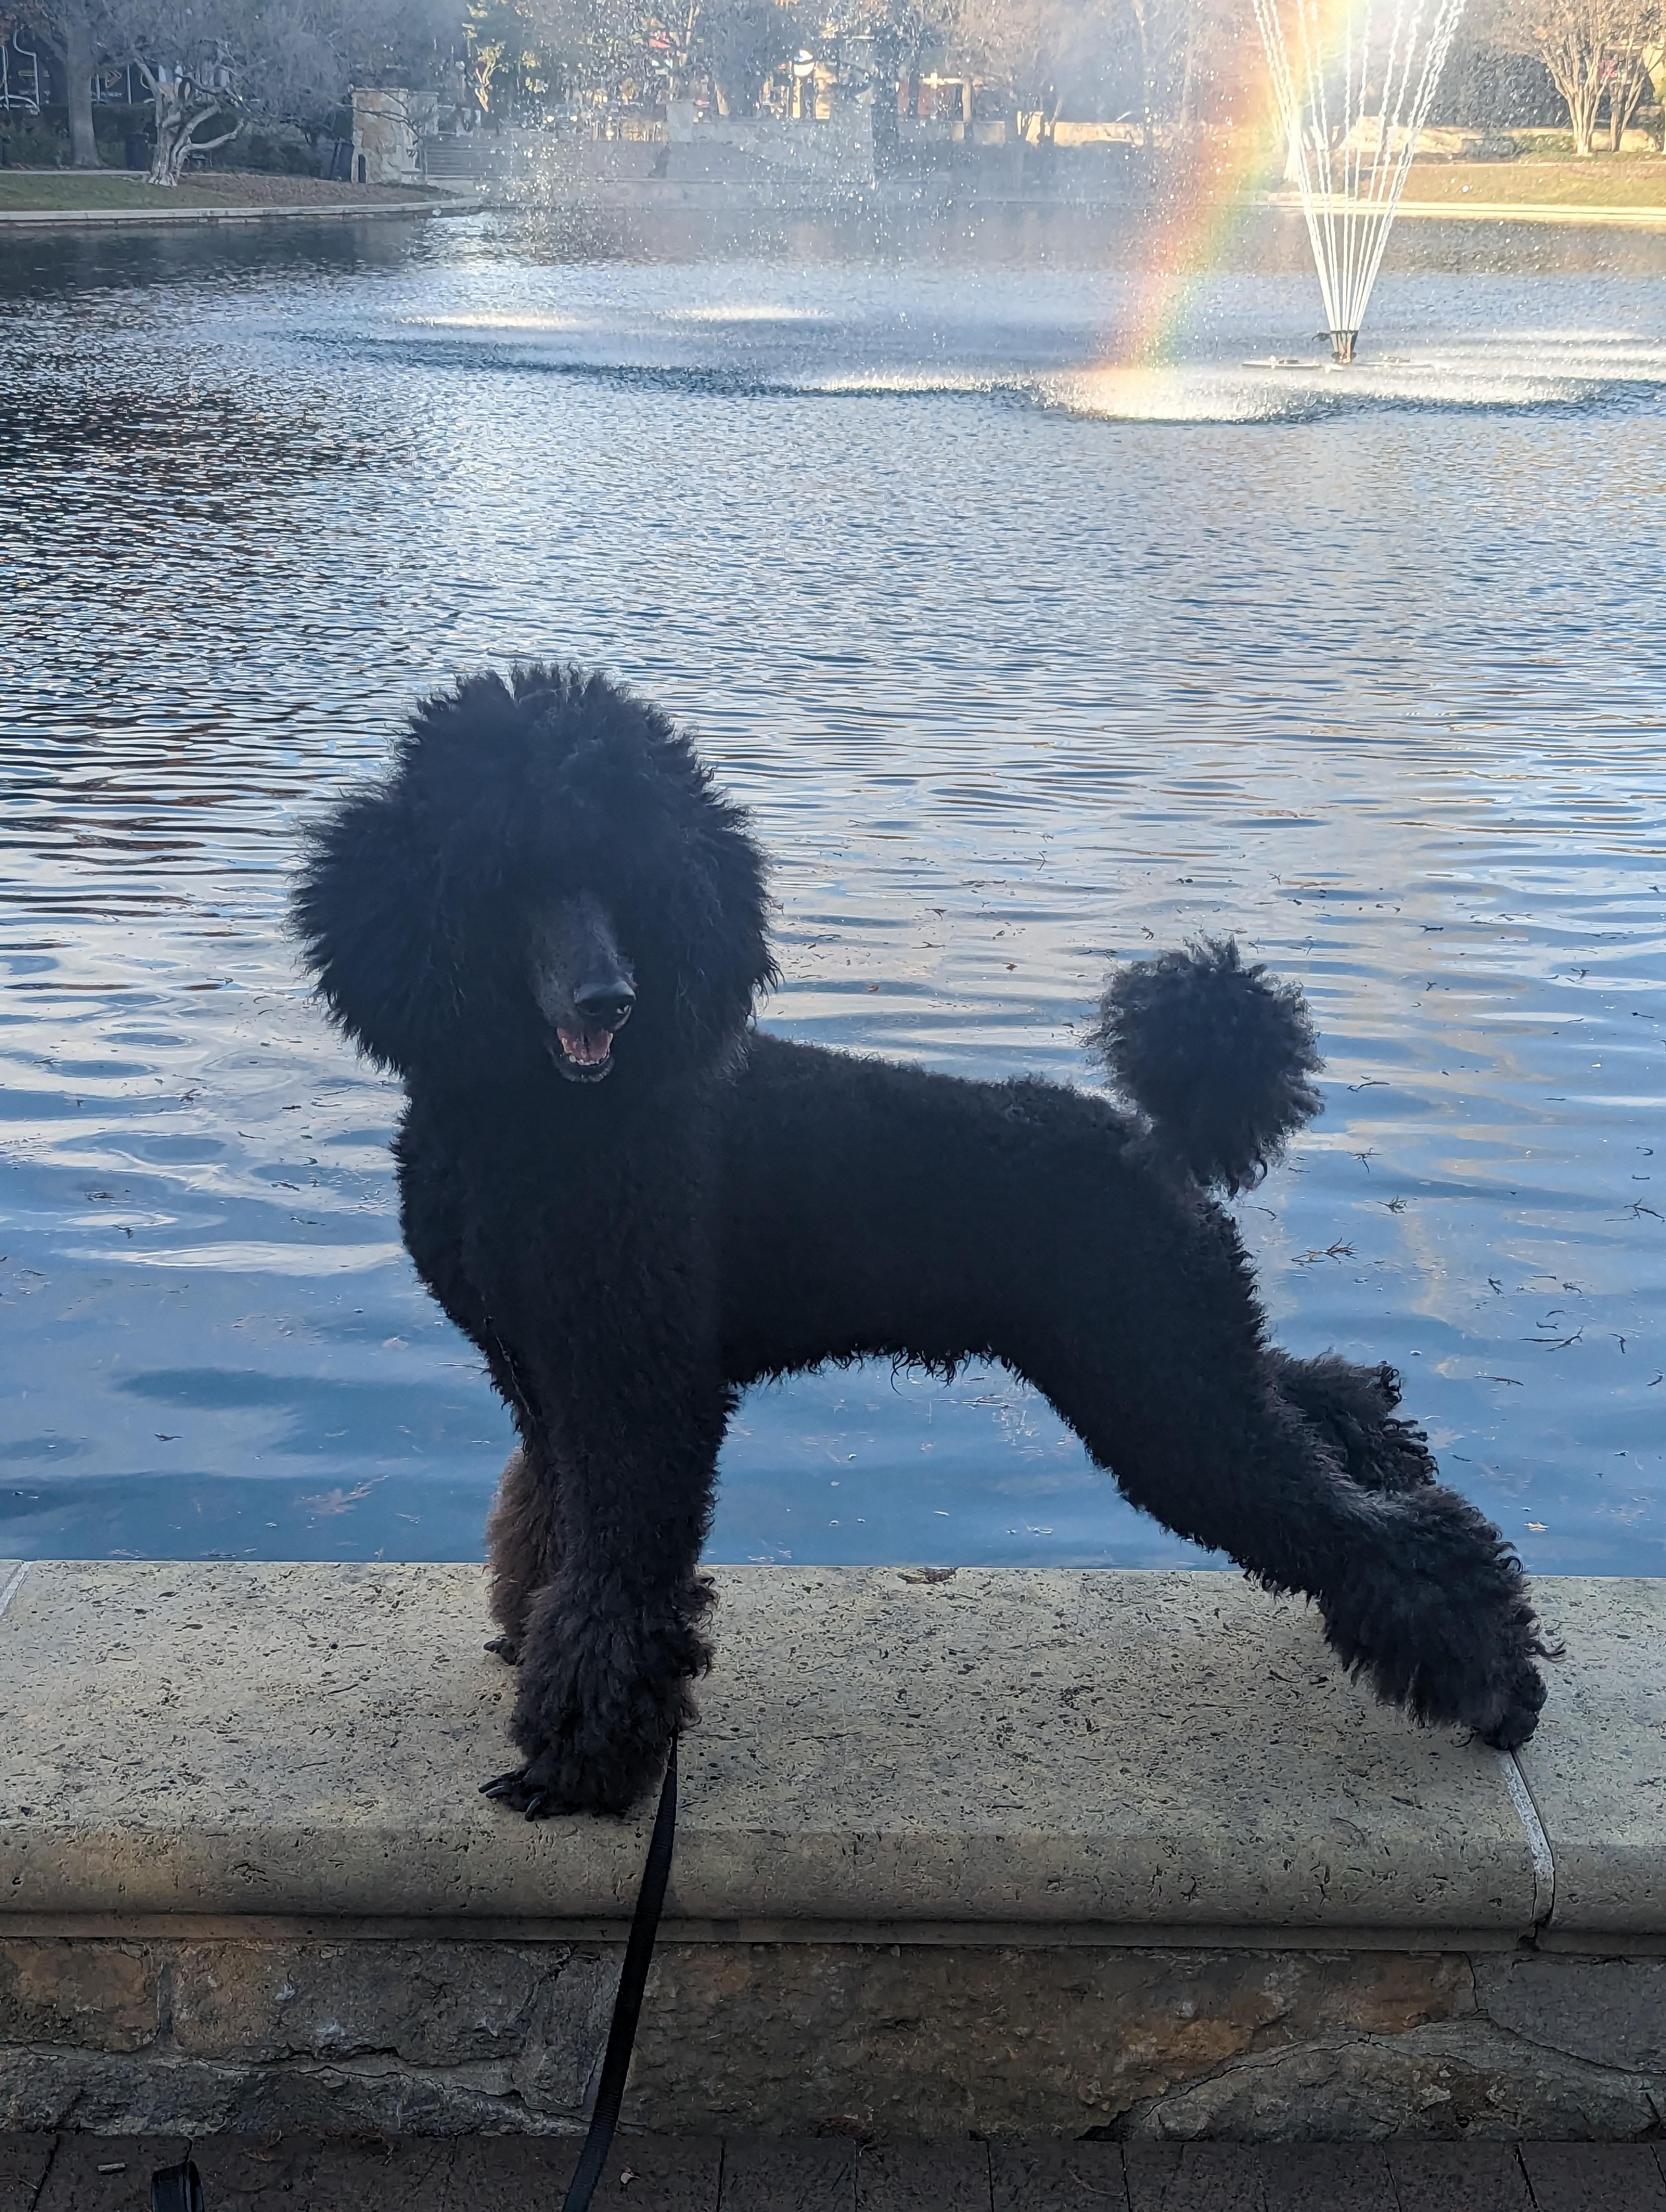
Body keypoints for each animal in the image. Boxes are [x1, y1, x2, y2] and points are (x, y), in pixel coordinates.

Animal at [293, 664, 1548, 1817]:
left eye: (633, 880)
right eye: (511, 876)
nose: (610, 999)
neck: (540, 1116)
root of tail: (1157, 1144)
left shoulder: (639, 1391)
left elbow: (616, 1578)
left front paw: (579, 1761)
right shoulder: (547, 1384)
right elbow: (547, 1532)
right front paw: (531, 1650)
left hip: (1161, 1390)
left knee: (1382, 1532)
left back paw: (1498, 1690)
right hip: (1180, 1352)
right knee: (1327, 1396)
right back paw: (1393, 1459)